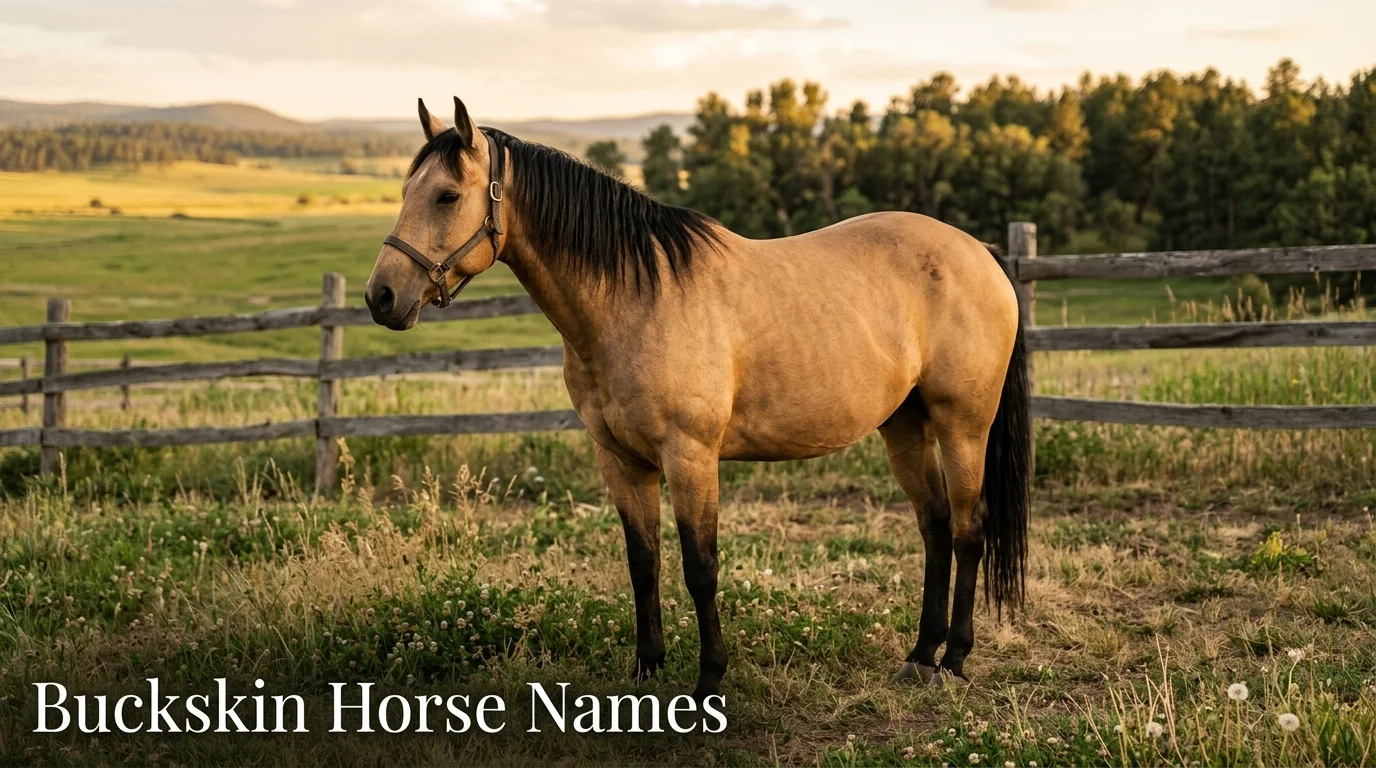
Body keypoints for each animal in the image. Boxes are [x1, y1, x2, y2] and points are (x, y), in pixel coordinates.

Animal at [364, 97, 1032, 698]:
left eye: (447, 196)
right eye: (406, 190)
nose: (382, 297)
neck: (635, 298)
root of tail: (980, 253)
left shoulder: (690, 457)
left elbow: (700, 567)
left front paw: (710, 679)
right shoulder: (621, 461)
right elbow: (644, 564)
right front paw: (647, 671)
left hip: (963, 425)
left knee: (969, 529)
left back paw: (954, 661)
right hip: (904, 425)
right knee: (935, 526)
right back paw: (919, 657)